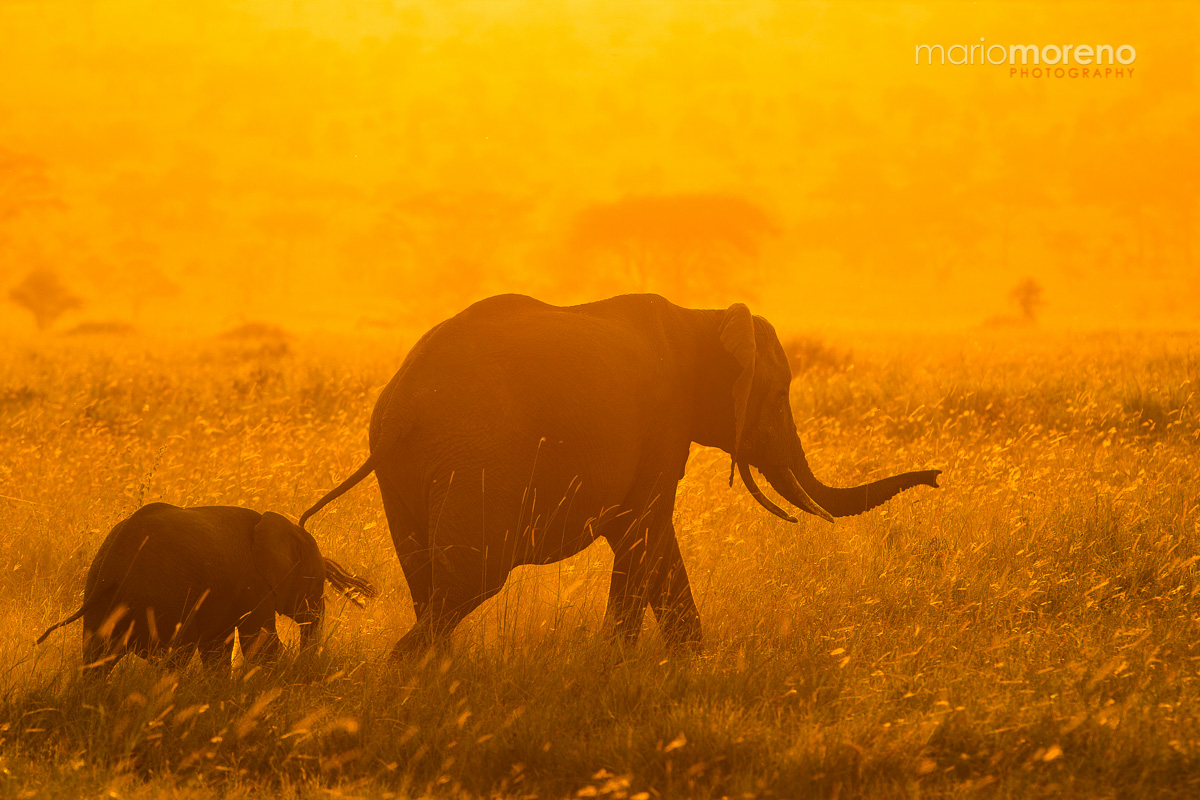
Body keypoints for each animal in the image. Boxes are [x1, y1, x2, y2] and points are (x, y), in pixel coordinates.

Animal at [37, 503, 376, 673]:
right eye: (317, 583)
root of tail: (112, 570)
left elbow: (218, 649)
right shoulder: (254, 583)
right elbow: (260, 644)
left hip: (101, 598)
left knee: (97, 658)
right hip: (166, 599)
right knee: (174, 657)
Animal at [300, 294, 940, 658]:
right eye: (780, 393)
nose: (937, 477)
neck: (703, 318)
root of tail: (402, 409)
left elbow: (652, 543)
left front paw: (687, 664)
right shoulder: (662, 423)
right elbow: (644, 533)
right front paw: (622, 666)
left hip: (406, 474)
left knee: (429, 580)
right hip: (473, 460)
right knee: (469, 581)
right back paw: (411, 670)